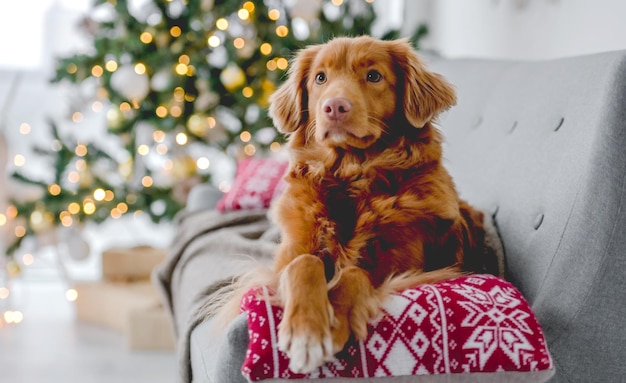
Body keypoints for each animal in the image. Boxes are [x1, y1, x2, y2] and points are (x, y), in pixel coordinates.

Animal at [266, 36, 500, 376]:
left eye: (373, 76)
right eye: (320, 78)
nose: (334, 107)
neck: (351, 173)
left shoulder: (405, 263)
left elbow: (355, 273)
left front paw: (332, 323)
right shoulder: (289, 254)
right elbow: (304, 263)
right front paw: (305, 330)